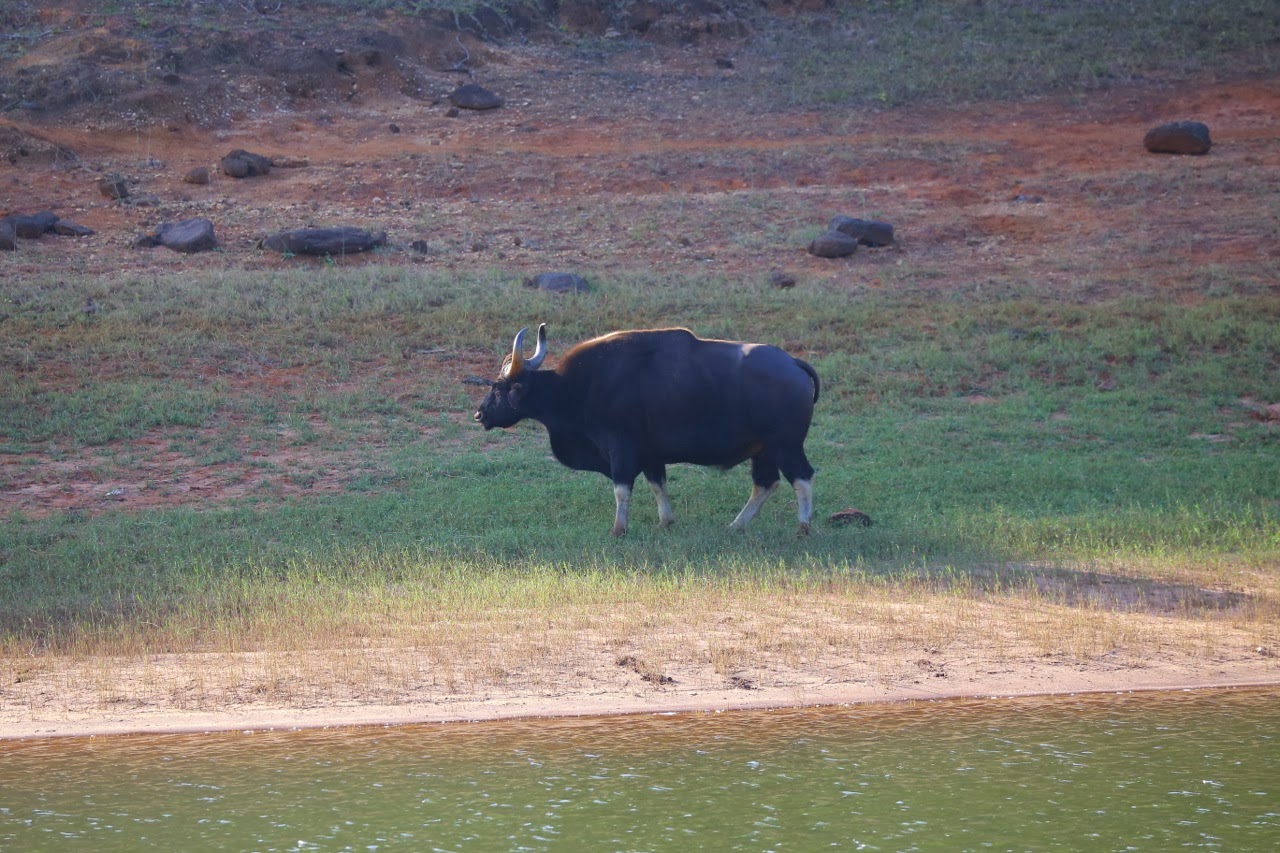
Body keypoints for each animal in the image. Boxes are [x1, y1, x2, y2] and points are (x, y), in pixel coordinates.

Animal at [474, 325, 820, 536]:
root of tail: (793, 363)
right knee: (766, 483)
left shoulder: (620, 448)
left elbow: (622, 489)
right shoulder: (652, 454)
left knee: (802, 477)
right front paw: (666, 522)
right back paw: (736, 525)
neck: (576, 387)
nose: (479, 414)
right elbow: (658, 485)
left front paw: (619, 529)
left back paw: (803, 527)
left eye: (498, 387)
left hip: (785, 444)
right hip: (764, 450)